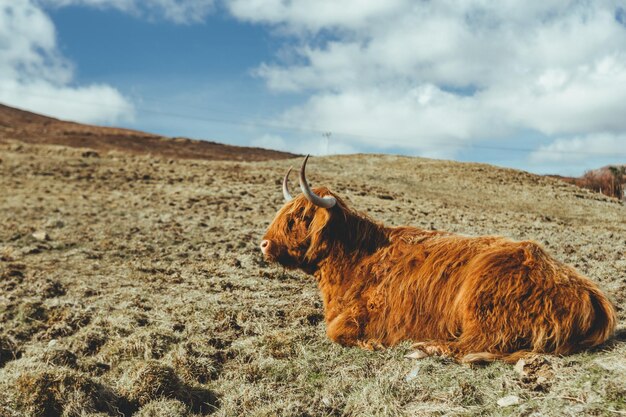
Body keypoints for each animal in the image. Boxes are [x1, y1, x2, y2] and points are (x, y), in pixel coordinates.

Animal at [258, 155, 616, 360]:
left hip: (484, 304)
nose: (263, 244)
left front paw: (374, 344)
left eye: (300, 217)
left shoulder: (376, 313)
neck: (356, 259)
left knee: (477, 344)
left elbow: (335, 332)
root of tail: (587, 290)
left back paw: (425, 349)